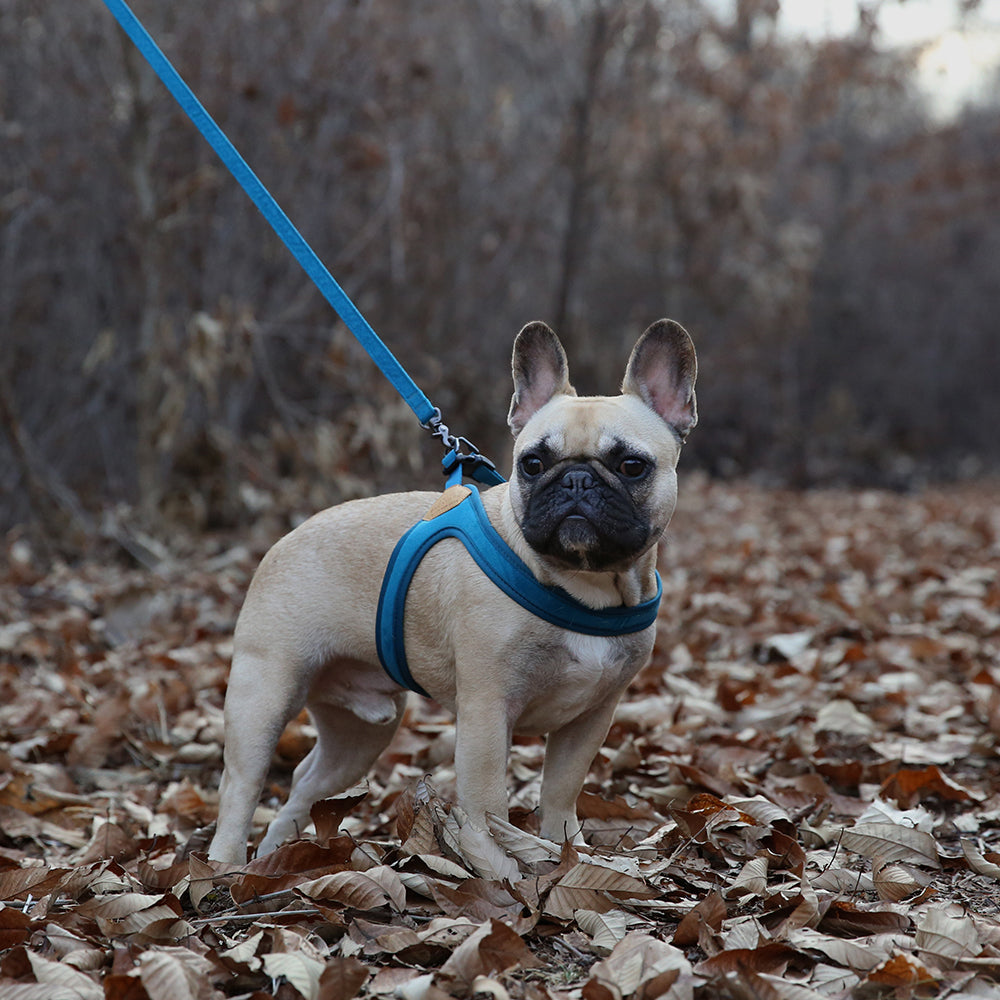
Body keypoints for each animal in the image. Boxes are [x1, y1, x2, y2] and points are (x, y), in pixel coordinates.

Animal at [208, 322, 700, 868]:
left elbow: (561, 789)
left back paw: (278, 850)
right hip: (264, 695)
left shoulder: (592, 716)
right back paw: (225, 865)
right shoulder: (487, 710)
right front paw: (501, 869)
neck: (583, 583)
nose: (575, 479)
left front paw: (565, 850)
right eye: (532, 464)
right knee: (241, 785)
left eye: (632, 466)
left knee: (307, 779)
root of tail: (283, 541)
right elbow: (487, 808)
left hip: (362, 733)